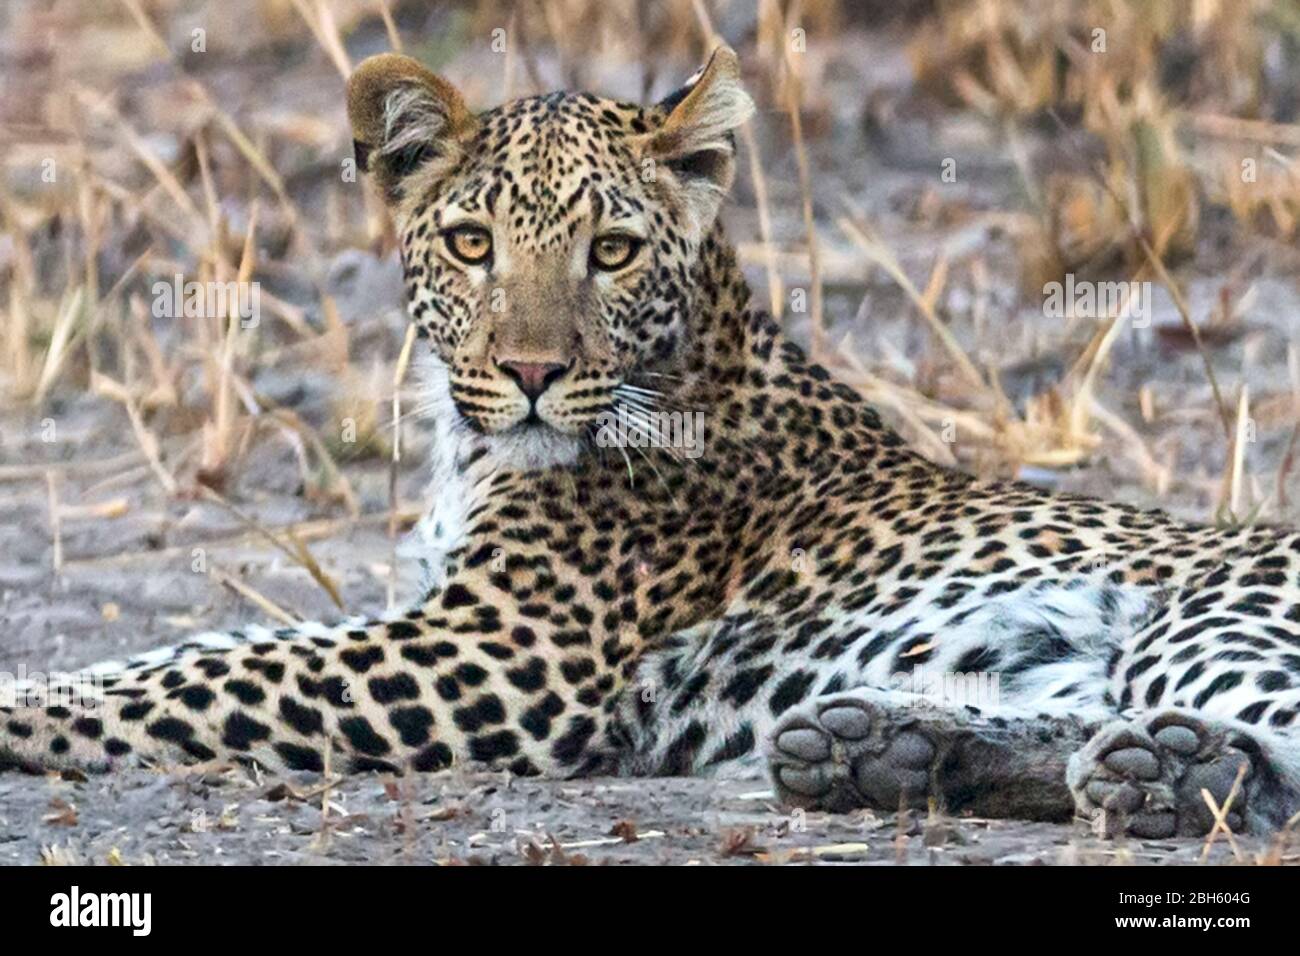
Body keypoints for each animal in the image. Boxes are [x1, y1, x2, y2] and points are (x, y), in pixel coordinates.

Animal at [2, 44, 1300, 837]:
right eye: (471, 244)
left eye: (612, 252)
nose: (530, 374)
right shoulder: (435, 617)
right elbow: (196, 644)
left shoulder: (497, 655)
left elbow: (207, 672)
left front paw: (18, 711)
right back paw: (887, 743)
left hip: (1209, 623)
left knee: (1269, 758)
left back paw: (1171, 771)